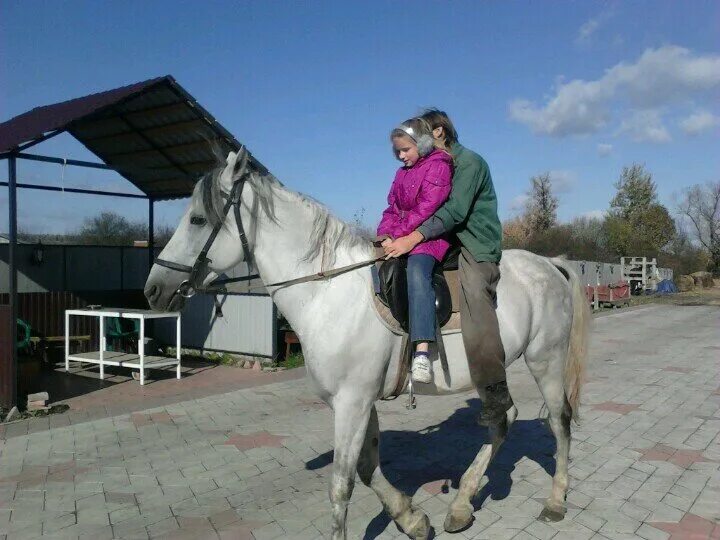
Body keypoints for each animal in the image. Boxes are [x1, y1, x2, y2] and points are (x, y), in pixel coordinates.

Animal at [143, 152, 588, 540]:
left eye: (198, 219)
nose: (153, 290)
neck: (326, 292)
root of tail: (550, 264)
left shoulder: (351, 401)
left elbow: (341, 484)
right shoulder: (358, 401)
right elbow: (368, 468)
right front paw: (412, 519)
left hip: (545, 360)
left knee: (558, 421)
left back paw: (555, 500)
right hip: (489, 369)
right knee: (504, 418)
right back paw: (462, 505)